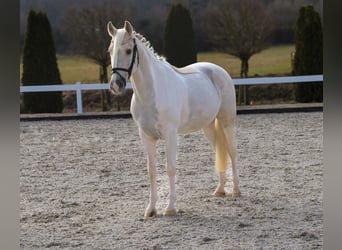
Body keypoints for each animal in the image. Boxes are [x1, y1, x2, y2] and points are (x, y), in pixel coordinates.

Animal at [107, 21, 240, 217]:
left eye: (129, 51)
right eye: (110, 50)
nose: (116, 85)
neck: (151, 92)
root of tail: (218, 70)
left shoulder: (170, 135)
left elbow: (170, 168)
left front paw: (170, 208)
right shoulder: (146, 136)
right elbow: (152, 171)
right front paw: (151, 209)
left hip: (226, 122)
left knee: (231, 151)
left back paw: (236, 190)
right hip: (208, 126)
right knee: (219, 150)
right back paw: (220, 190)